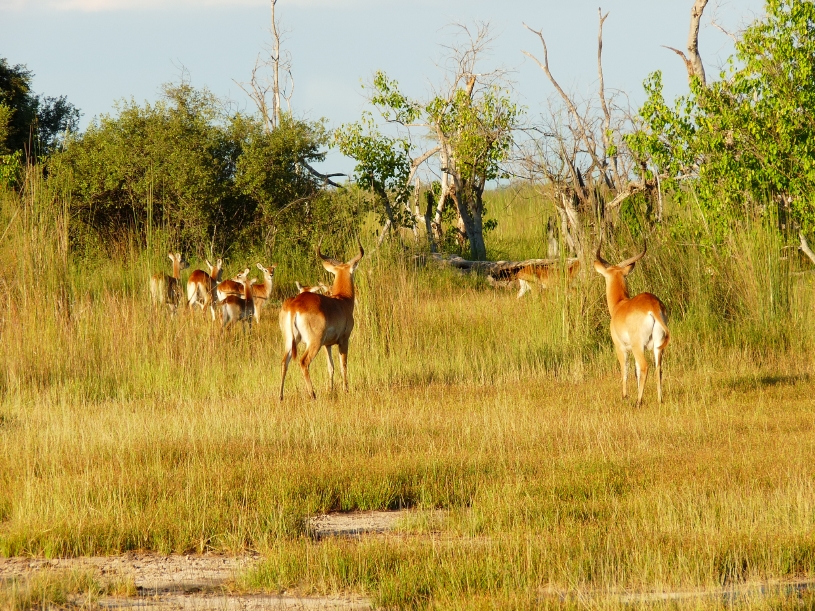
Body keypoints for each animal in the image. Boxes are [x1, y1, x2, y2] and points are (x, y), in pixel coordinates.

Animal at [279, 240, 364, 400]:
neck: (342, 301)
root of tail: (295, 305)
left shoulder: (327, 344)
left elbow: (331, 367)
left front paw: (331, 390)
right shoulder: (344, 340)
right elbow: (343, 365)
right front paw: (345, 390)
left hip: (290, 340)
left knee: (284, 362)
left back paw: (280, 397)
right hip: (314, 342)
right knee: (303, 362)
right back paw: (313, 394)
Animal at [594, 241, 670, 405]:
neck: (619, 305)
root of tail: (653, 306)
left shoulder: (621, 347)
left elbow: (625, 370)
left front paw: (624, 396)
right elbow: (635, 372)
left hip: (637, 346)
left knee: (645, 367)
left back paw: (638, 402)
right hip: (658, 346)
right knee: (658, 369)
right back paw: (659, 400)